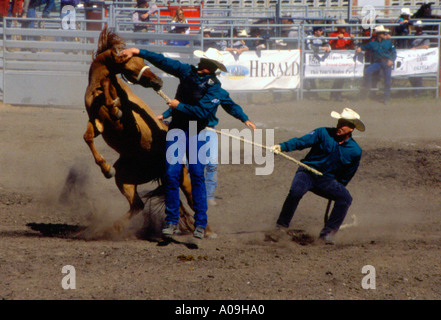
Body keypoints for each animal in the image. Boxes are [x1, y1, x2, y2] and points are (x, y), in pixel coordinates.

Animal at [83, 27, 193, 234]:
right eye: (130, 67)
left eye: (143, 62)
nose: (159, 82)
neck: (96, 89)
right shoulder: (97, 122)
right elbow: (88, 137)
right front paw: (105, 169)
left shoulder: (128, 118)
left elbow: (113, 98)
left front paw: (115, 106)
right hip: (124, 178)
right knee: (137, 205)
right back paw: (115, 226)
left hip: (182, 175)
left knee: (192, 199)